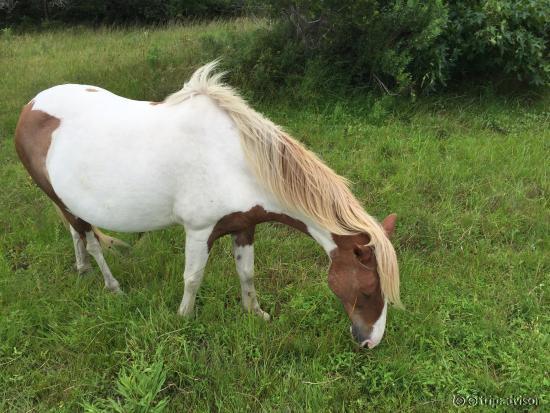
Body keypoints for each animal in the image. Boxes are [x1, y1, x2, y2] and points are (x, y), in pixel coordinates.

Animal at [12, 62, 402, 348]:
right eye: (368, 290)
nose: (370, 342)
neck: (234, 159)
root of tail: (31, 105)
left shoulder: (244, 225)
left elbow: (247, 273)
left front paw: (255, 313)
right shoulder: (199, 231)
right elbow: (193, 278)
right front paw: (183, 318)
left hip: (65, 200)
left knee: (75, 233)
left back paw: (82, 270)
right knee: (91, 240)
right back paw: (112, 286)